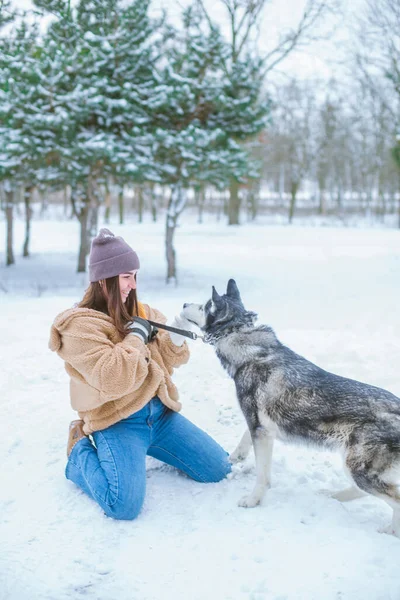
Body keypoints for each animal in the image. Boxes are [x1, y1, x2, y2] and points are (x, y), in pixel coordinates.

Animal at [183, 278, 400, 536]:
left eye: (203, 305)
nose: (184, 303)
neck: (243, 339)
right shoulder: (259, 426)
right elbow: (245, 438)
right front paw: (236, 456)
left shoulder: (260, 431)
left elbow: (262, 475)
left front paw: (253, 501)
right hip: (355, 467)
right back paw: (332, 496)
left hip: (358, 468)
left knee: (394, 498)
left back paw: (389, 530)